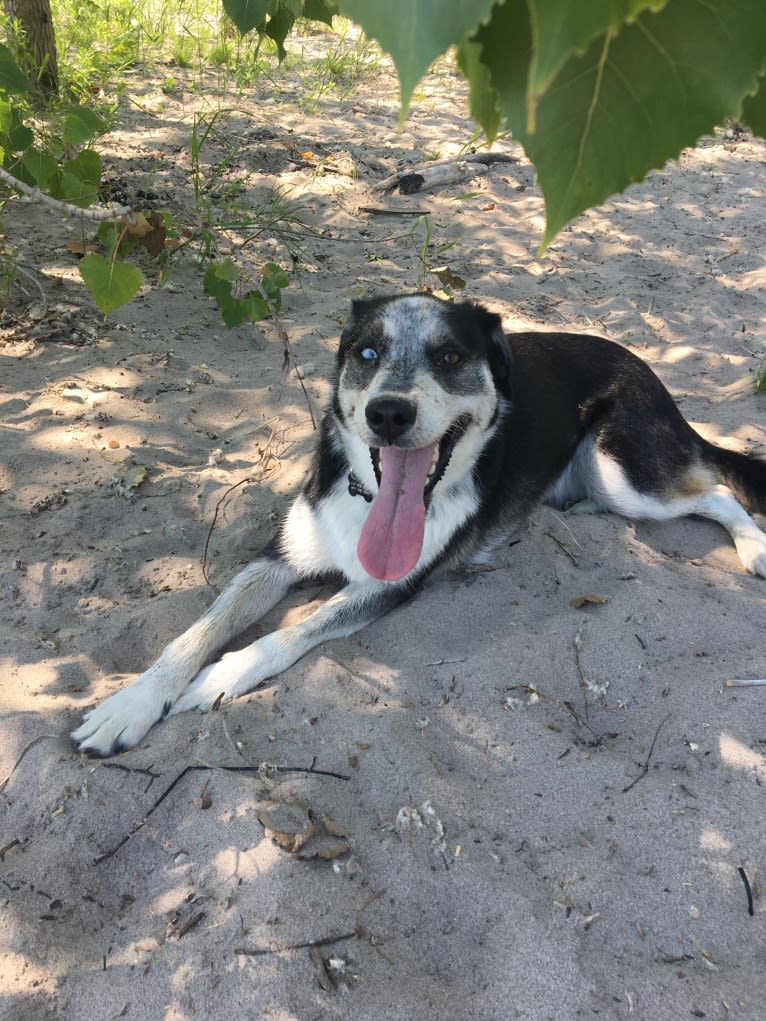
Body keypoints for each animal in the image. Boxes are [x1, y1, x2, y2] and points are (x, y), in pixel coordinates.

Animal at [72, 296, 766, 759]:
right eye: (367, 353)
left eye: (451, 356)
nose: (388, 413)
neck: (371, 496)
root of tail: (648, 368)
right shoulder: (278, 557)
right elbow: (198, 629)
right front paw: (130, 706)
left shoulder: (389, 585)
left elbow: (287, 633)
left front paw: (218, 678)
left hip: (623, 470)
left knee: (716, 493)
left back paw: (755, 549)